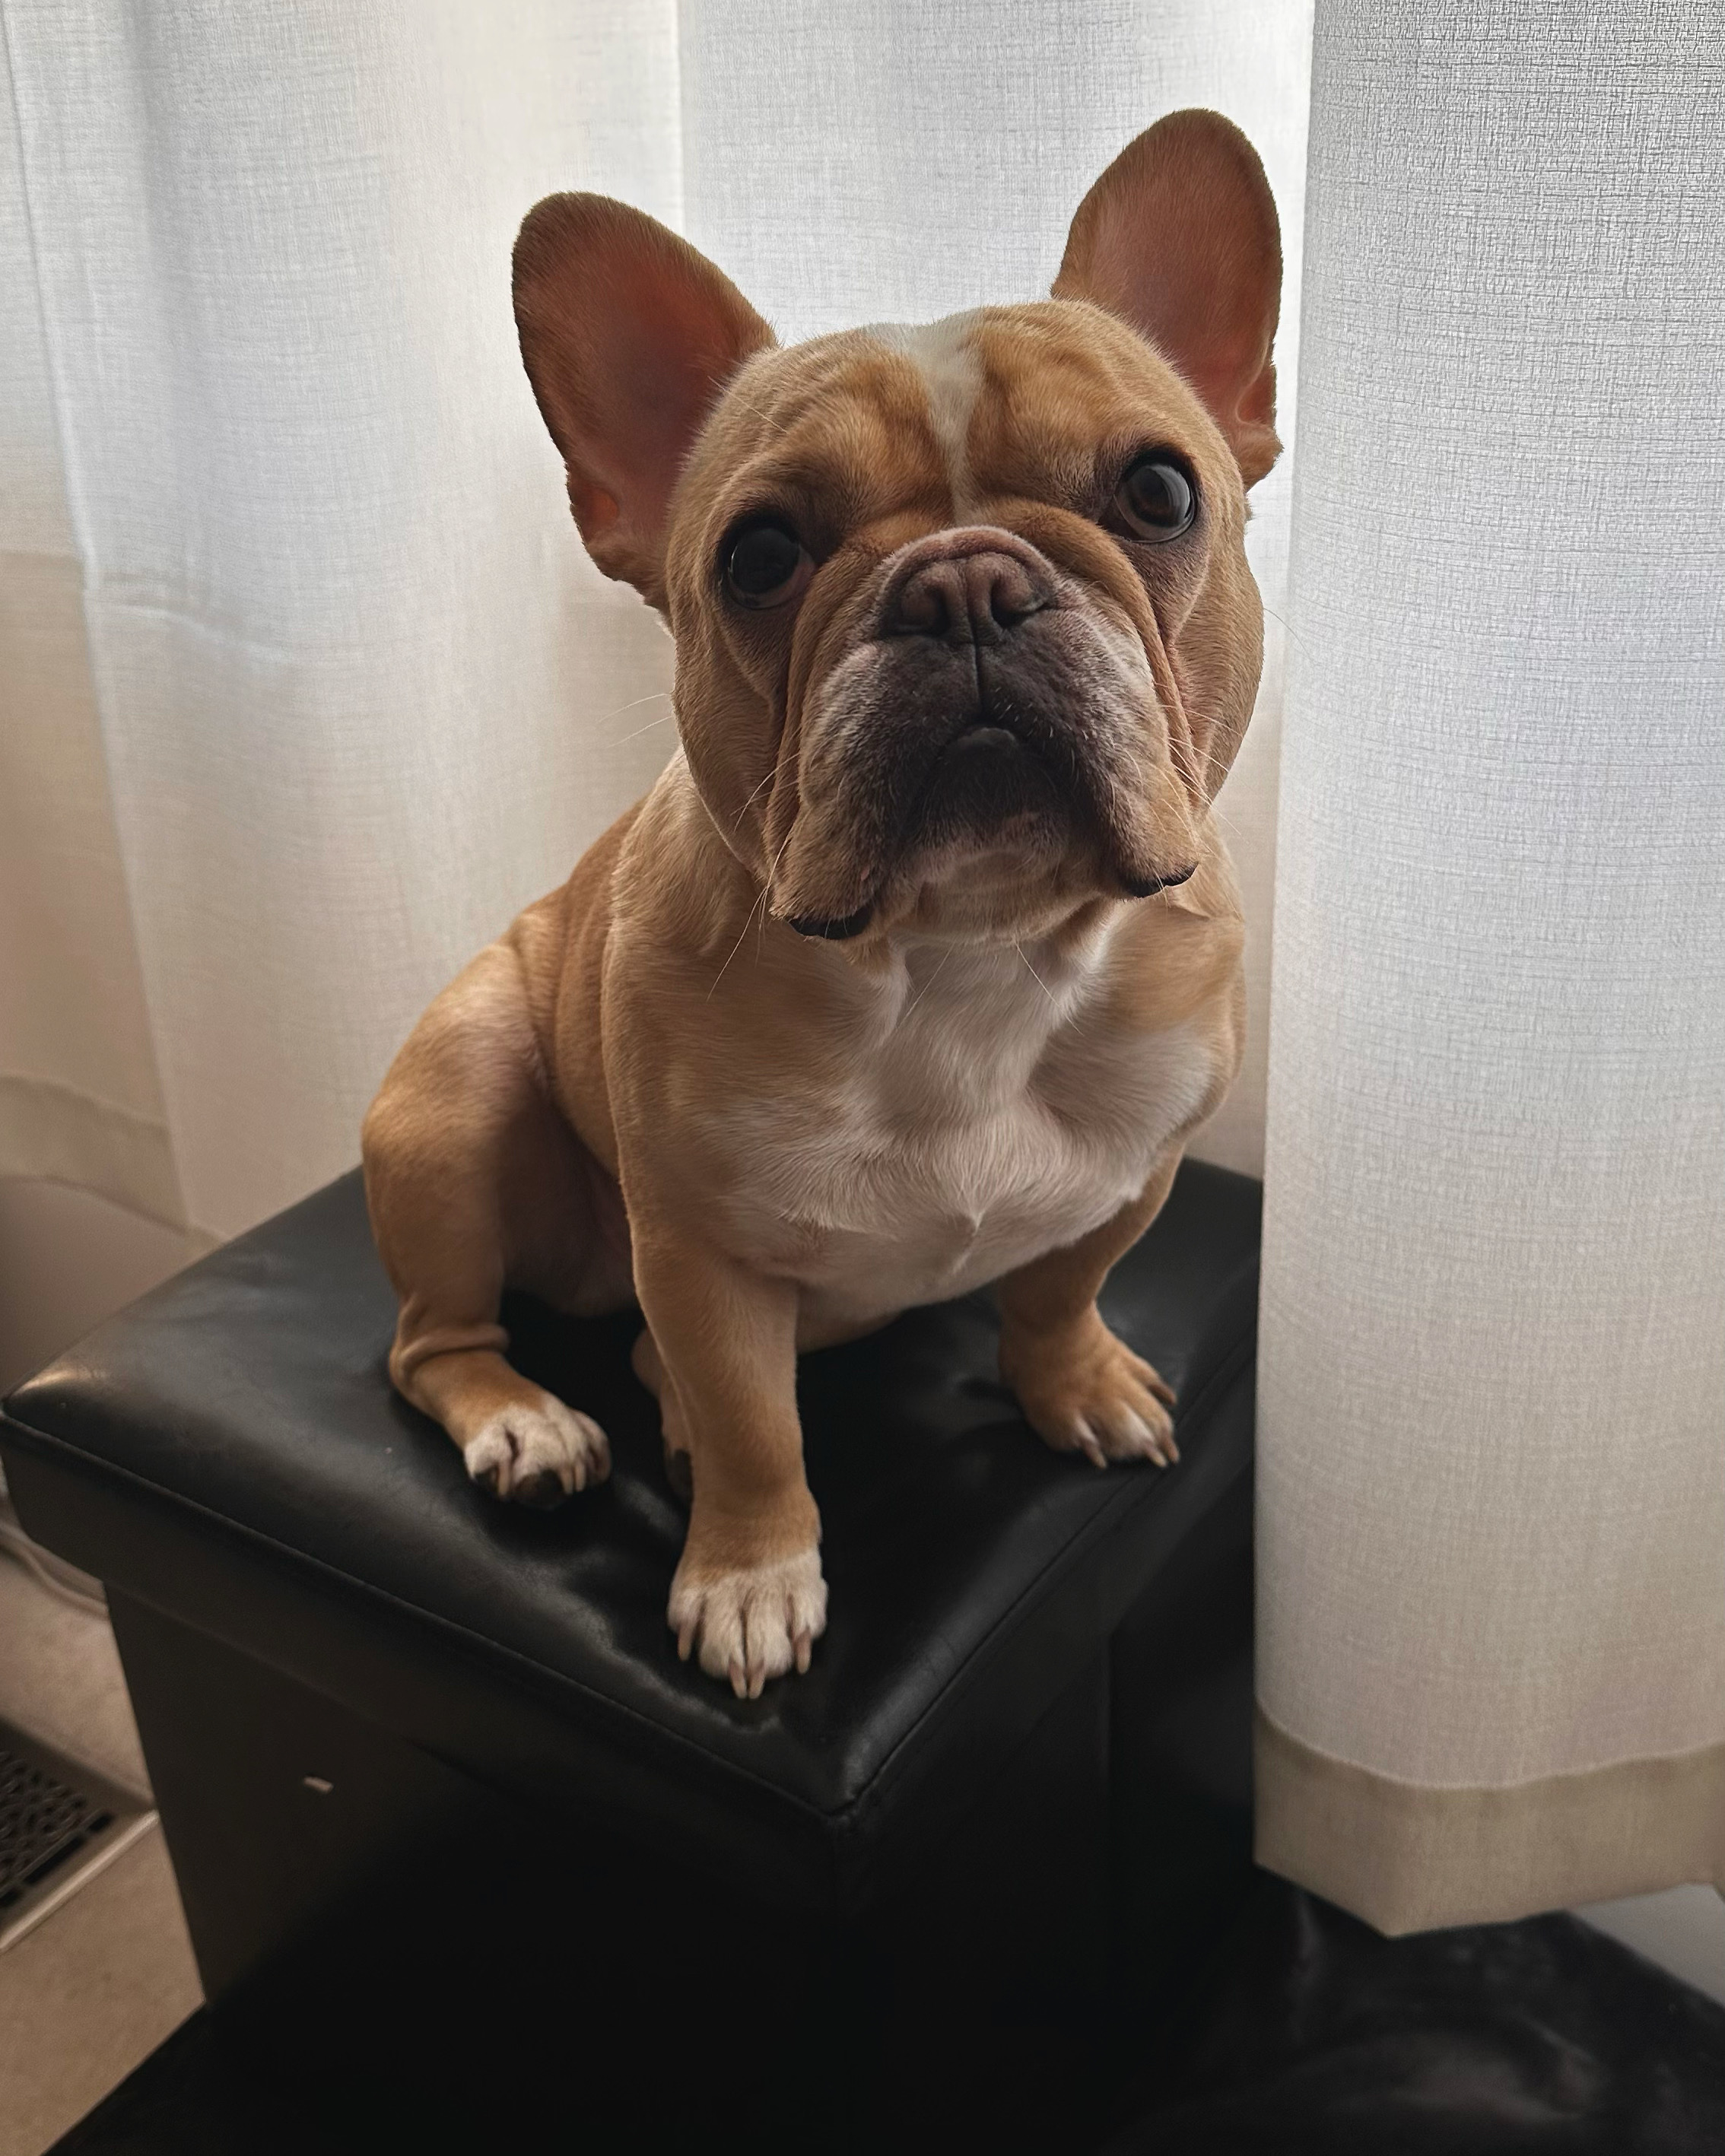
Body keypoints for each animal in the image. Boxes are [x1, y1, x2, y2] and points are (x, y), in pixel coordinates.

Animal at [362, 108, 1282, 1698]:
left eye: (1159, 494)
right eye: (759, 556)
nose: (963, 583)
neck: (967, 953)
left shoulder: (1136, 1171)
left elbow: (1058, 1293)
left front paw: (1074, 1383)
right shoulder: (703, 1257)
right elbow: (752, 1435)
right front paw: (747, 1578)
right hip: (462, 1100)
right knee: (437, 1342)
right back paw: (529, 1421)